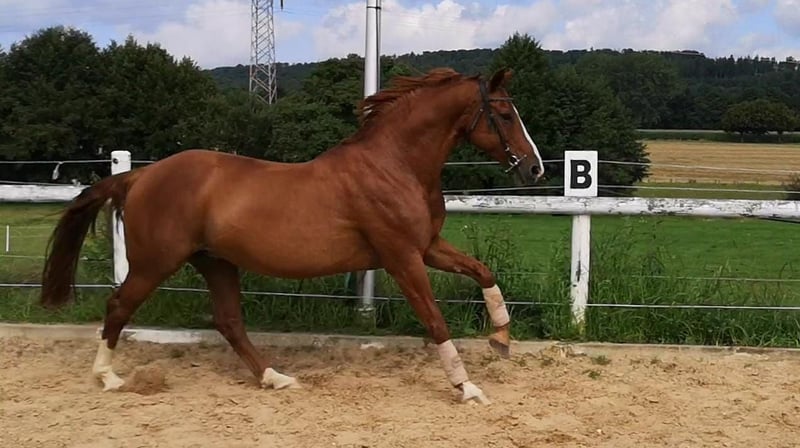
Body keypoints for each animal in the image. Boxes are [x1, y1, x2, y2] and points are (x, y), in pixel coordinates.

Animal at [40, 67, 545, 405]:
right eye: (504, 113)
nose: (535, 168)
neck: (395, 165)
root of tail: (140, 176)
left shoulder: (427, 247)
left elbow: (483, 271)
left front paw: (501, 339)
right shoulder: (402, 256)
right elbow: (436, 320)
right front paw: (467, 387)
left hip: (215, 261)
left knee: (229, 321)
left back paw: (275, 378)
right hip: (155, 262)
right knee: (118, 306)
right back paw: (108, 378)